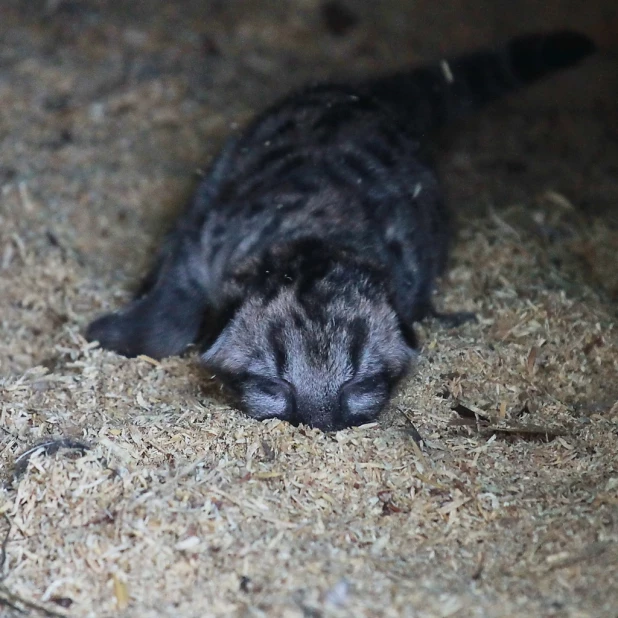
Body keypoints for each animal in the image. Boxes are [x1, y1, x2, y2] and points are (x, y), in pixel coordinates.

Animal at [86, 31, 592, 430]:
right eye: (274, 384)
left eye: (359, 383)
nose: (318, 423)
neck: (316, 231)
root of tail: (367, 97)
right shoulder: (204, 239)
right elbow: (172, 311)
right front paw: (120, 333)